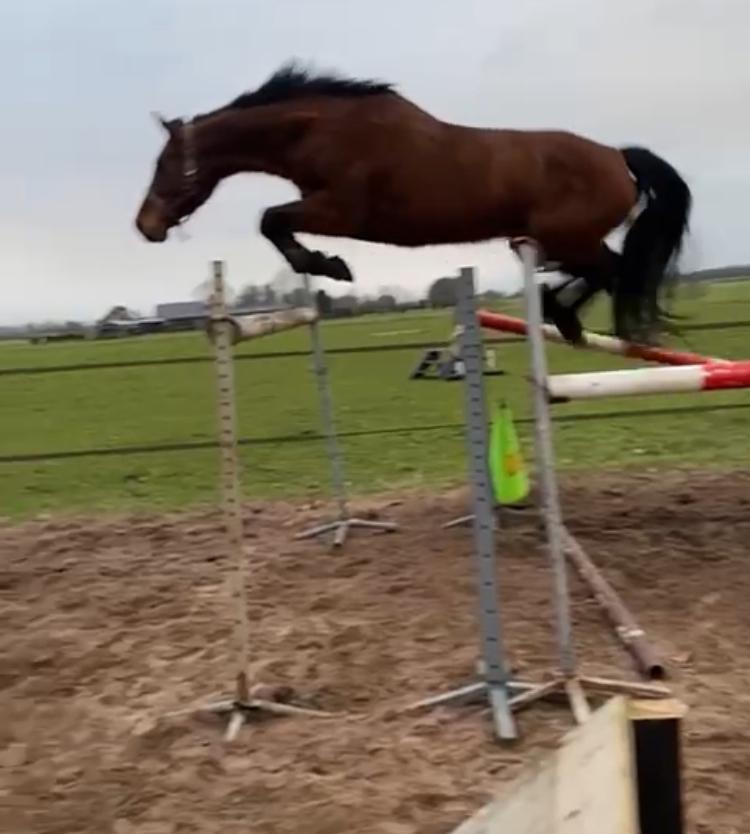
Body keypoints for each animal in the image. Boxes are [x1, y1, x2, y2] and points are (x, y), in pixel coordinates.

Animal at [134, 62, 692, 345]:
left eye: (165, 165)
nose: (146, 225)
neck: (322, 131)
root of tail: (617, 157)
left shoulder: (340, 212)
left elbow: (270, 221)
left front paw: (327, 265)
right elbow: (273, 222)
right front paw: (325, 264)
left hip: (566, 237)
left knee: (610, 269)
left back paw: (564, 315)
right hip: (563, 239)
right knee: (609, 270)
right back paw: (566, 317)